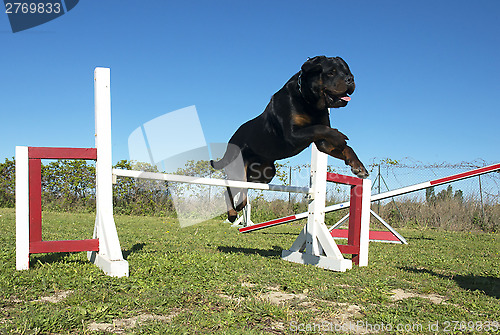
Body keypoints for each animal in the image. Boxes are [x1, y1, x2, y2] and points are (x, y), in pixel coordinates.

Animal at [210, 55, 368, 223]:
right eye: (331, 72)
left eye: (348, 72)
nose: (350, 79)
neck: (309, 102)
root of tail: (229, 143)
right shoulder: (292, 135)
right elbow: (320, 128)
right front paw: (339, 135)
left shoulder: (322, 143)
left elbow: (341, 144)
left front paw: (358, 166)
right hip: (237, 170)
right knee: (229, 190)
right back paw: (233, 213)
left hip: (264, 174)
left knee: (243, 188)